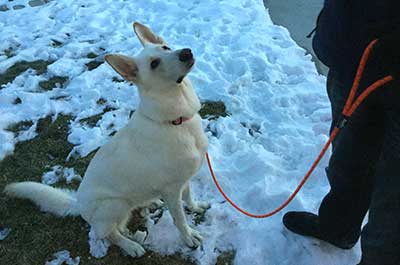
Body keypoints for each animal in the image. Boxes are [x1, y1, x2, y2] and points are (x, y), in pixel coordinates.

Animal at [4, 21, 211, 256]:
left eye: (166, 48)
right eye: (154, 64)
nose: (186, 52)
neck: (176, 120)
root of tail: (78, 203)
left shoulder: (183, 181)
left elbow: (189, 197)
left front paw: (196, 207)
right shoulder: (172, 189)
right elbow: (180, 219)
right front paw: (188, 238)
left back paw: (151, 203)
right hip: (114, 204)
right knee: (108, 233)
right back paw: (131, 246)